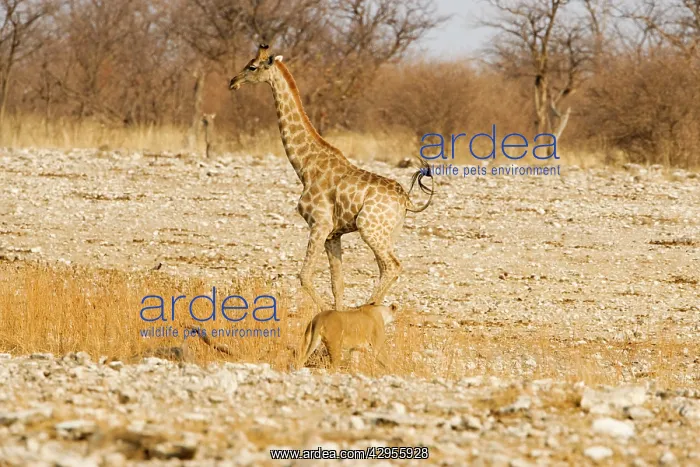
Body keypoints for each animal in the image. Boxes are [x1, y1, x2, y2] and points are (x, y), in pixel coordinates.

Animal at [229, 44, 434, 311]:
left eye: (252, 66)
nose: (232, 81)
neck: (305, 166)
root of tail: (406, 201)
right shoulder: (333, 234)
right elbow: (338, 283)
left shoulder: (320, 224)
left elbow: (305, 275)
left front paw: (326, 313)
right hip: (389, 231)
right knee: (385, 268)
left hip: (369, 227)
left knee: (393, 266)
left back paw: (369, 309)